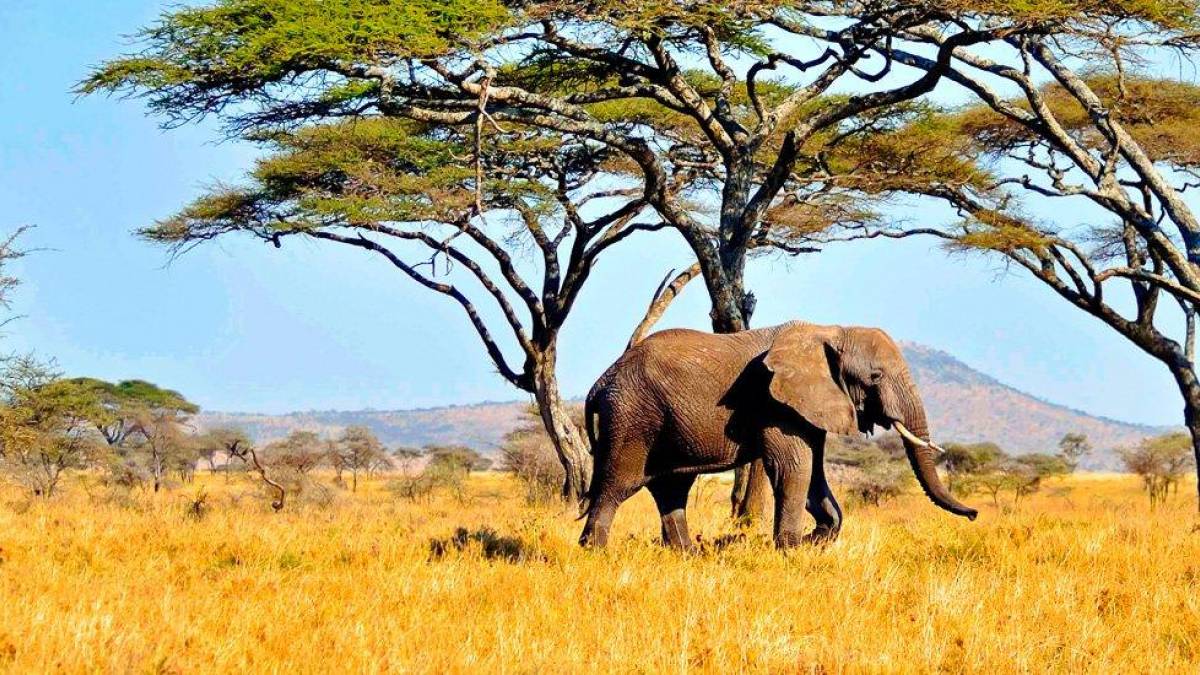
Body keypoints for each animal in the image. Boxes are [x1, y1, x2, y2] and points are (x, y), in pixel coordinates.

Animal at [580, 321, 978, 549]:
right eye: (875, 377)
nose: (974, 515)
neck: (830, 330)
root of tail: (600, 383)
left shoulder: (809, 404)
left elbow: (814, 471)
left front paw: (816, 540)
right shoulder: (775, 402)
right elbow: (793, 467)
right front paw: (790, 548)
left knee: (671, 489)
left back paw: (686, 555)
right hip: (632, 415)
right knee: (618, 485)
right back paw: (595, 553)